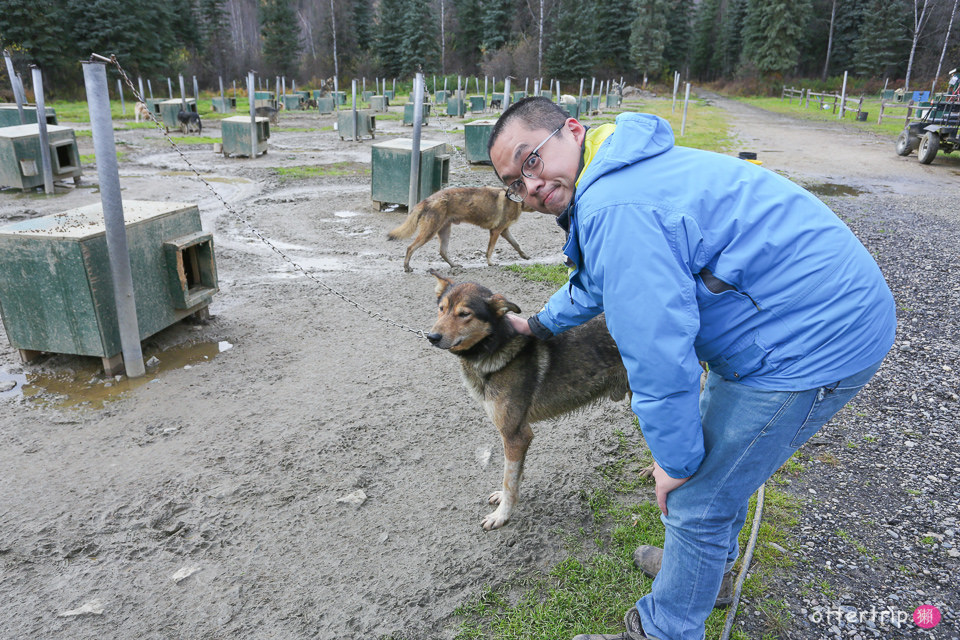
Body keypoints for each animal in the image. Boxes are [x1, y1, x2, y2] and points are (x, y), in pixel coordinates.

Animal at [388, 188, 536, 272]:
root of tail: (427, 200)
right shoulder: (496, 231)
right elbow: (489, 251)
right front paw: (490, 263)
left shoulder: (504, 231)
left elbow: (517, 244)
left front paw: (525, 256)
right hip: (429, 233)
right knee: (410, 248)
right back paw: (407, 267)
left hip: (444, 232)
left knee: (443, 252)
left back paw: (454, 265)